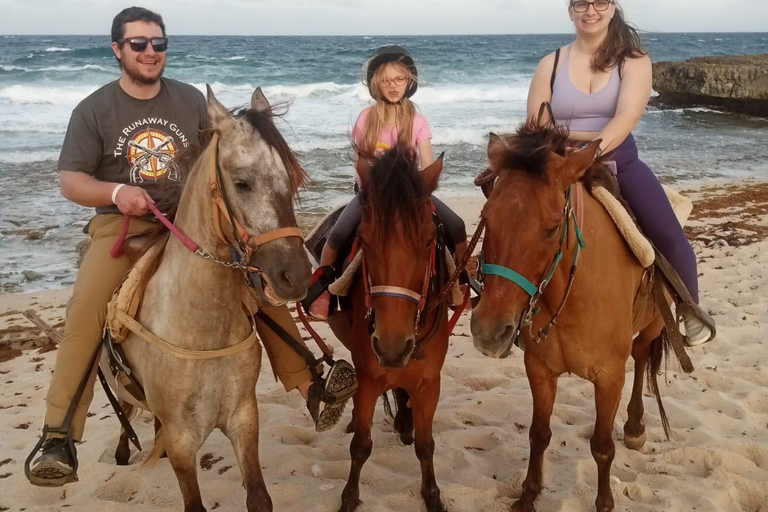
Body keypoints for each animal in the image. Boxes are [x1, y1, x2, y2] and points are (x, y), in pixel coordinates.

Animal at [328, 147, 450, 512]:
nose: (392, 347)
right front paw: (349, 497)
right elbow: (360, 446)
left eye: (429, 241)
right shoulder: (369, 379)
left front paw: (432, 495)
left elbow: (426, 445)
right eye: (364, 241)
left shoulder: (429, 383)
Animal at [472, 121, 680, 512]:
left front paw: (604, 502)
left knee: (642, 356)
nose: (489, 331)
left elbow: (602, 447)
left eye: (553, 227)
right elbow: (539, 435)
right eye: (486, 217)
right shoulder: (539, 369)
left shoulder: (609, 377)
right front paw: (528, 495)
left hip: (653, 325)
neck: (570, 296)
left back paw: (635, 426)